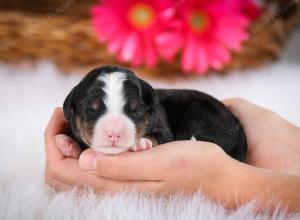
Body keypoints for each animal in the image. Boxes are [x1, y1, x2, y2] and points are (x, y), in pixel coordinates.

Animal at [59, 64, 247, 161]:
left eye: (135, 110)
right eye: (91, 109)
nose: (114, 133)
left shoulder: (163, 128)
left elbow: (159, 136)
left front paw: (142, 142)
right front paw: (67, 143)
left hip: (203, 109)